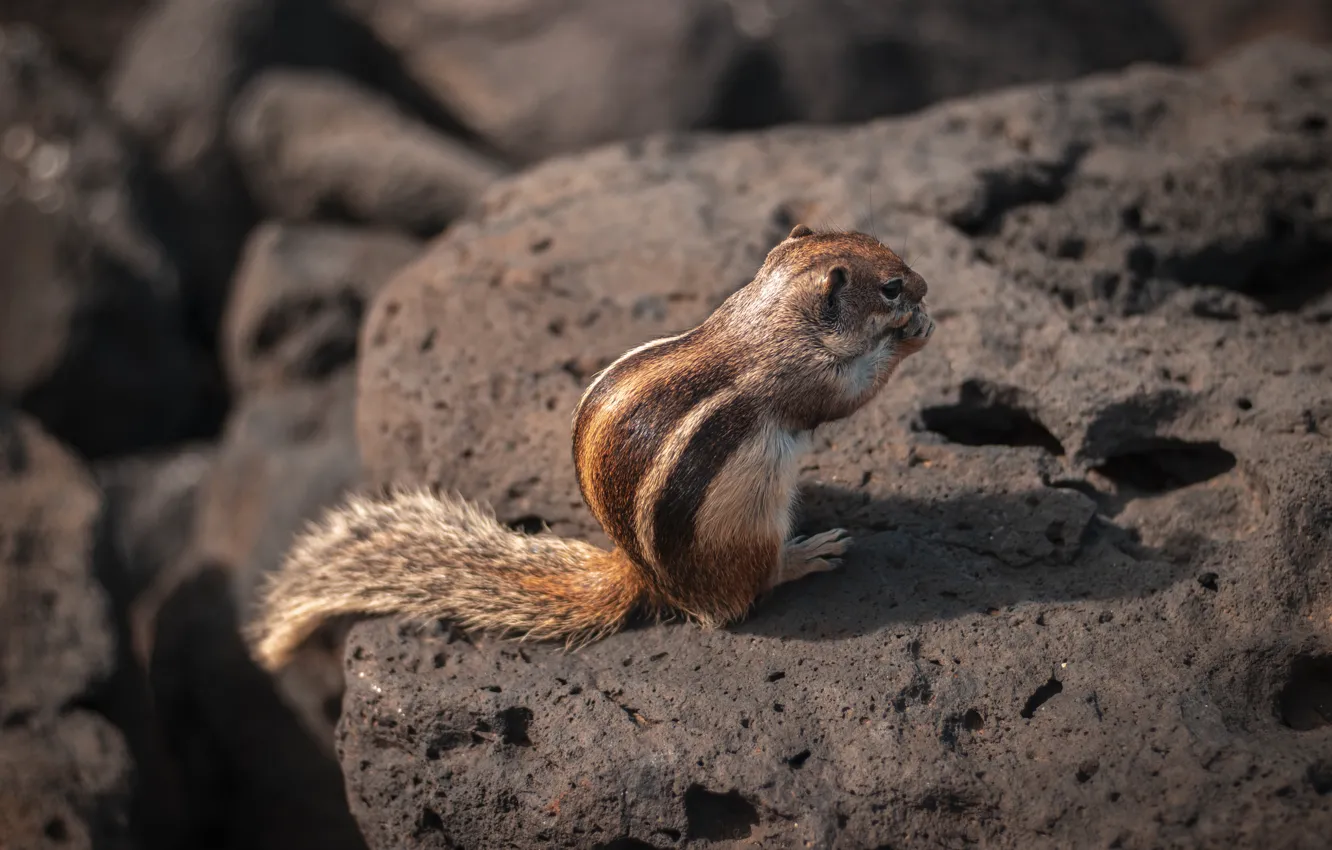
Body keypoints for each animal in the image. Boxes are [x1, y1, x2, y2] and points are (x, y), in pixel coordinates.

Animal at [246, 224, 934, 670]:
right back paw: (804, 554)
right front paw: (911, 338)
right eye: (890, 287)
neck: (767, 316)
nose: (926, 285)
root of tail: (640, 576)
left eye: (879, 246)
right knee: (748, 591)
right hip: (746, 536)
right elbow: (849, 395)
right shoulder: (804, 377)